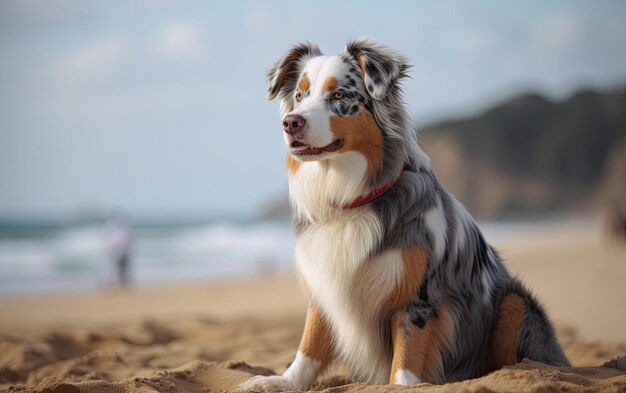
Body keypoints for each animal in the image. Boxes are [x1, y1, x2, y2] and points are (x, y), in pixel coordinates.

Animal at [240, 39, 572, 388]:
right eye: (300, 96)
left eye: (339, 96)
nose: (290, 122)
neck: (350, 196)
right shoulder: (325, 286)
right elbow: (310, 344)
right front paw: (282, 381)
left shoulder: (418, 297)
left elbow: (406, 355)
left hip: (515, 301)